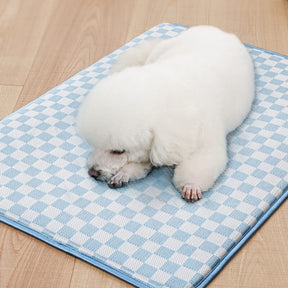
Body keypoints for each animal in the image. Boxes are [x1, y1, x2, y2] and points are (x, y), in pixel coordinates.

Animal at [76, 26, 254, 200]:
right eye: (95, 145)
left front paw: (191, 186)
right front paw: (124, 174)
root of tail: (219, 30)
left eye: (118, 151)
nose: (92, 173)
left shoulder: (202, 137)